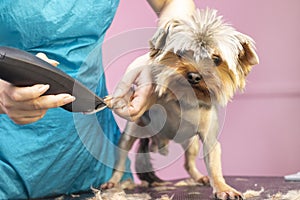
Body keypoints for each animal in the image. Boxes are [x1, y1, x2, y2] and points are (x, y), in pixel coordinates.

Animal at [102, 8, 258, 200]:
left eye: (216, 60)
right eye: (182, 52)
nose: (194, 76)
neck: (186, 98)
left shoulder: (209, 137)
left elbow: (214, 163)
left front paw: (223, 188)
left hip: (192, 143)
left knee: (188, 163)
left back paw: (199, 177)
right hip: (131, 134)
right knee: (122, 157)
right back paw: (113, 181)